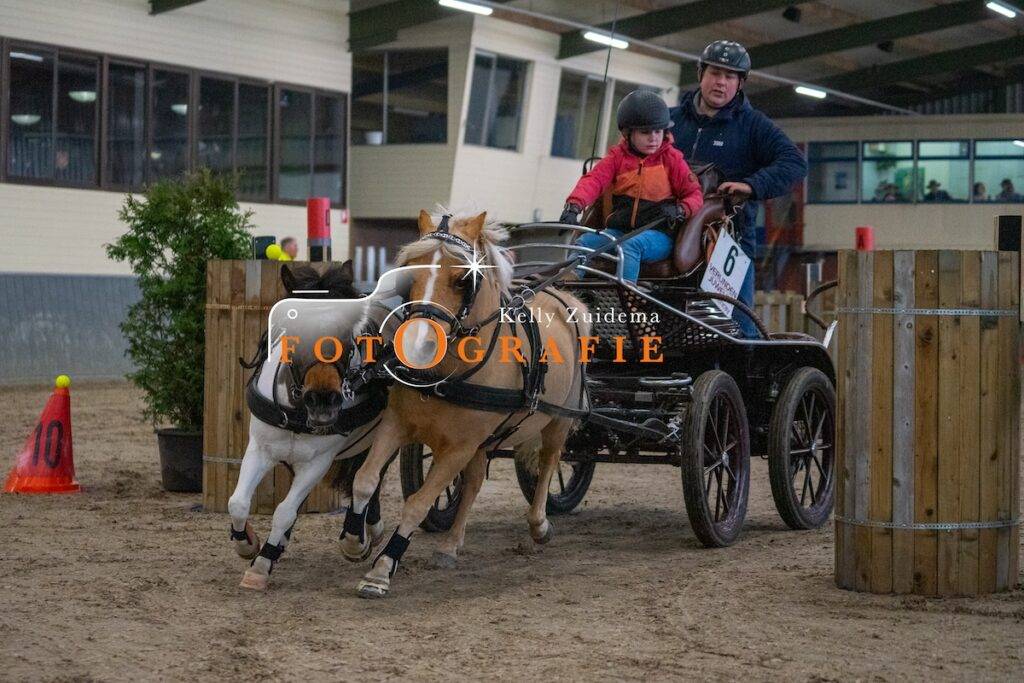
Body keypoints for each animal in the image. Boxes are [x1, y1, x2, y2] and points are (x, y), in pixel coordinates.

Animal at [229, 261, 387, 591]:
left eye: (346, 331)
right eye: (294, 324)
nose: (323, 400)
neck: (296, 410)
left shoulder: (318, 462)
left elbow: (285, 511)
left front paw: (262, 563)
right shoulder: (260, 448)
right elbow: (238, 502)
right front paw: (249, 544)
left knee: (372, 475)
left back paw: (360, 534)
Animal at [337, 209, 591, 598]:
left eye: (463, 281)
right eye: (408, 273)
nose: (415, 345)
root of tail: (564, 297)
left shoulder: (458, 447)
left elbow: (417, 503)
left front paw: (381, 570)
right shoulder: (398, 424)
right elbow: (365, 479)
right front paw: (355, 542)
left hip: (558, 419)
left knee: (550, 462)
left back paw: (540, 524)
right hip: (486, 439)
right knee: (472, 484)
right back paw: (450, 545)